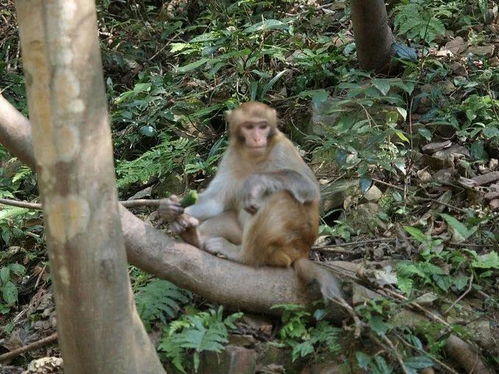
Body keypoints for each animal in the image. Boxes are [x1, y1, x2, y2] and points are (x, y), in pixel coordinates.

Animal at [160, 101, 344, 300]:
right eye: (249, 127)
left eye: (262, 126)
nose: (257, 139)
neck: (255, 157)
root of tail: (302, 253)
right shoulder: (230, 156)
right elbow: (214, 201)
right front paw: (169, 210)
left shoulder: (283, 148)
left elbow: (310, 189)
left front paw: (256, 181)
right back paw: (194, 237)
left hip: (288, 247)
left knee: (280, 197)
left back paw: (243, 256)